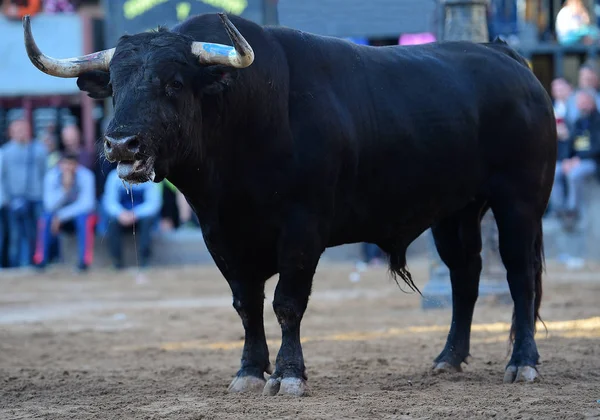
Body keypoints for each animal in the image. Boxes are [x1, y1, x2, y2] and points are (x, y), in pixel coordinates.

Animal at [23, 11, 556, 396]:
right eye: (114, 86)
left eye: (173, 83)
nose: (120, 144)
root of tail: (509, 58)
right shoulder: (221, 234)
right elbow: (246, 304)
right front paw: (248, 372)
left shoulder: (303, 228)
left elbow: (287, 302)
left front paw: (289, 374)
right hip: (455, 211)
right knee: (466, 275)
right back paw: (448, 359)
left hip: (520, 202)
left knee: (520, 277)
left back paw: (523, 363)